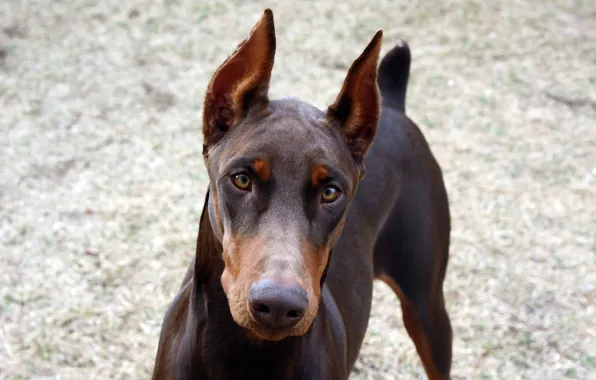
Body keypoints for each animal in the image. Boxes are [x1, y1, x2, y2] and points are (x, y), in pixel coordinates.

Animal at [152, 8, 452, 380]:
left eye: (330, 192)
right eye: (241, 179)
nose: (279, 305)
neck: (247, 355)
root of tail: (395, 105)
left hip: (427, 304)